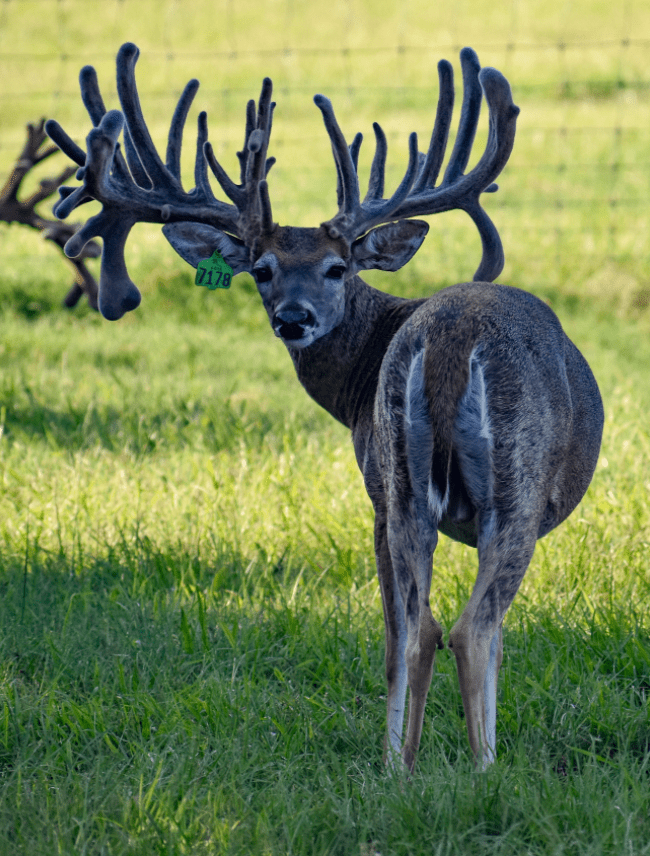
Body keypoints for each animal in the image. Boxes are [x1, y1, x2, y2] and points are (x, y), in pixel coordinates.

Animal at [45, 43, 604, 772]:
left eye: (337, 268)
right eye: (262, 269)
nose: (293, 318)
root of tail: (451, 340)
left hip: (403, 486)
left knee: (417, 628)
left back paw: (399, 768)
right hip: (511, 488)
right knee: (469, 627)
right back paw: (482, 769)